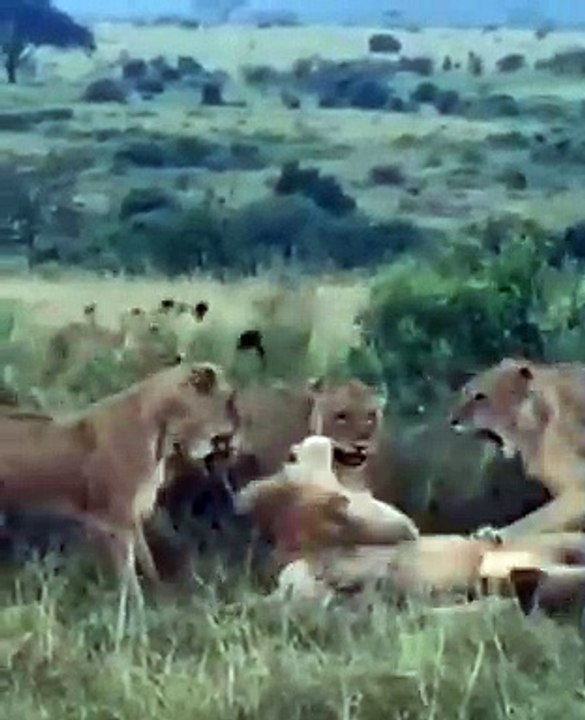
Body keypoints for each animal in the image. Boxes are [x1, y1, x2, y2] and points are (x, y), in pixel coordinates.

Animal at [0, 360, 238, 644]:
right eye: (230, 400)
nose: (236, 431)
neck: (162, 432)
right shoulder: (116, 524)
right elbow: (130, 583)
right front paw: (136, 630)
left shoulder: (132, 520)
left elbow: (148, 565)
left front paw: (161, 605)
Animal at [449, 358, 585, 543]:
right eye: (465, 392)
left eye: (480, 397)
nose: (452, 420)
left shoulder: (579, 486)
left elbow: (536, 518)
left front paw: (496, 534)